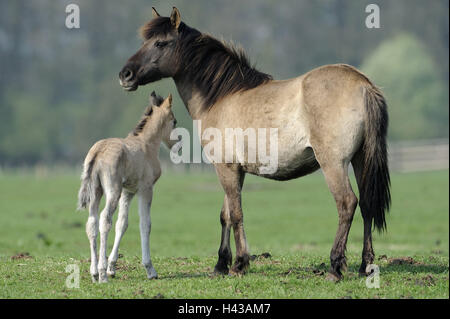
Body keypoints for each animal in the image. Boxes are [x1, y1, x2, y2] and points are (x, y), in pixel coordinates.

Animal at [77, 91, 178, 284]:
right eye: (174, 121)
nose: (177, 143)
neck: (146, 144)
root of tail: (98, 151)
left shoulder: (128, 191)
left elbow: (122, 224)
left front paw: (112, 267)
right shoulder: (146, 189)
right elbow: (145, 224)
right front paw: (150, 269)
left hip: (96, 191)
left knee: (92, 222)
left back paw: (94, 272)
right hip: (113, 191)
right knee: (104, 220)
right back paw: (101, 273)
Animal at [119, 6, 390, 282]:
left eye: (160, 43)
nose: (125, 74)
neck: (222, 96)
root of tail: (363, 85)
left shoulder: (225, 167)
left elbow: (237, 214)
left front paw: (239, 264)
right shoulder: (234, 170)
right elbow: (226, 215)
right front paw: (221, 264)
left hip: (333, 164)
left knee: (347, 203)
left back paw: (335, 267)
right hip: (360, 160)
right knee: (367, 205)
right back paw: (365, 265)